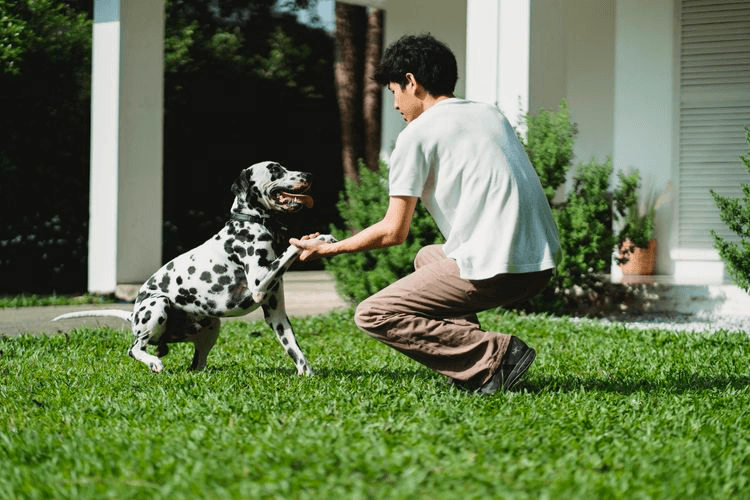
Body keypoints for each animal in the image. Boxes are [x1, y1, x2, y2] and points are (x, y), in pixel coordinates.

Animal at [53, 160, 334, 376]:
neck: (252, 223)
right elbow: (292, 248)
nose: (309, 175)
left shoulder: (277, 314)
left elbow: (294, 349)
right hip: (158, 305)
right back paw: (154, 362)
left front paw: (306, 374)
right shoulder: (259, 283)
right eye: (275, 169)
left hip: (211, 327)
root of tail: (133, 315)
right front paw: (318, 239)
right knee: (134, 348)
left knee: (195, 365)